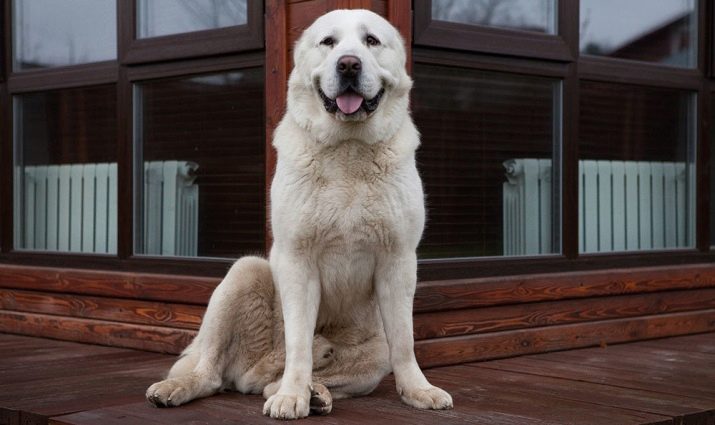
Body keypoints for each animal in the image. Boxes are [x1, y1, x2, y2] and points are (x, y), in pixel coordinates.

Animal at [145, 8, 454, 420]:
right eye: (329, 42)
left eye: (371, 41)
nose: (349, 64)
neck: (348, 149)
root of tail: (253, 371)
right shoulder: (297, 260)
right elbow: (299, 343)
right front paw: (293, 395)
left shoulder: (399, 261)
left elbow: (405, 340)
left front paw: (417, 390)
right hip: (245, 272)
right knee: (212, 372)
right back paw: (181, 388)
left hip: (375, 352)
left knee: (278, 381)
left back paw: (317, 393)